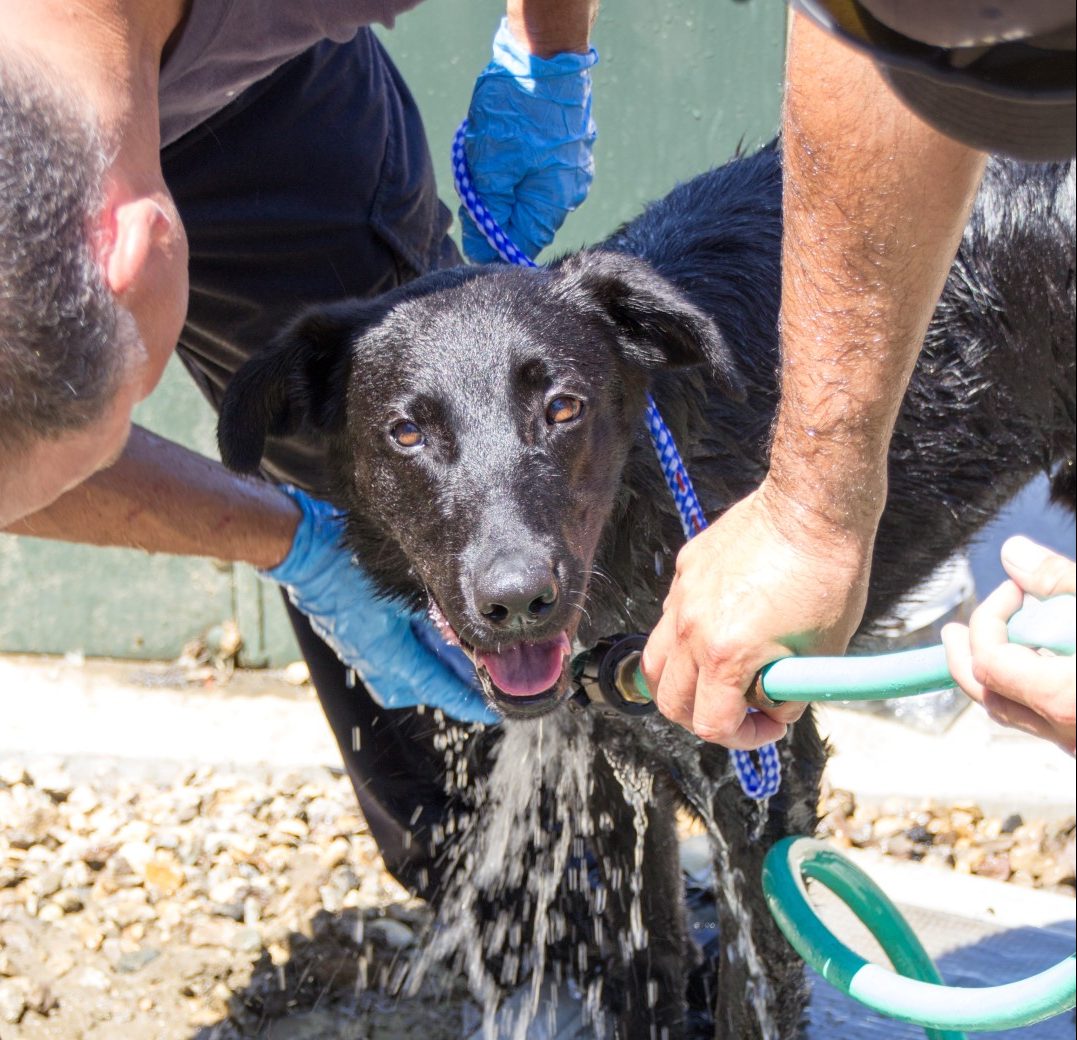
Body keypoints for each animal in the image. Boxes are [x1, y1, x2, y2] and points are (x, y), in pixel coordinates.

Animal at [218, 148, 1077, 1040]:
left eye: (563, 408)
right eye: (407, 432)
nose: (516, 600)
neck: (652, 490)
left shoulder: (759, 782)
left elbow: (751, 997)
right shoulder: (608, 765)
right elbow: (642, 963)